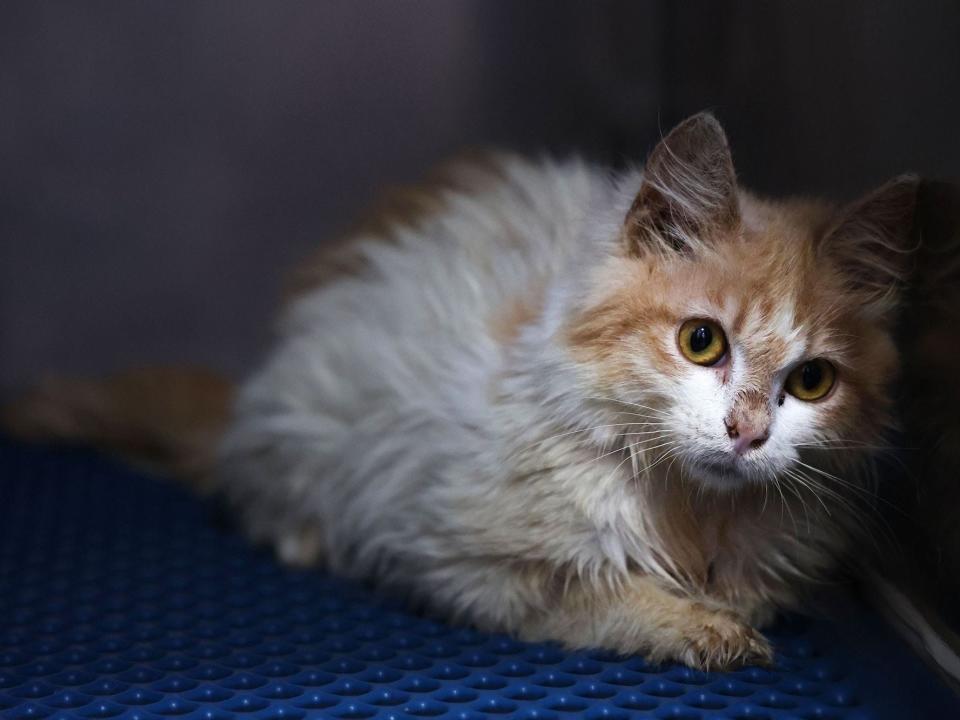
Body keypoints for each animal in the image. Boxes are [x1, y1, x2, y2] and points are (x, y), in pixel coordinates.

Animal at [5, 112, 924, 668]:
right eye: (702, 342)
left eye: (811, 381)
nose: (747, 432)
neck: (695, 513)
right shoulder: (465, 560)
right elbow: (613, 594)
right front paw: (706, 629)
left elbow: (754, 593)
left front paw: (731, 611)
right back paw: (306, 536)